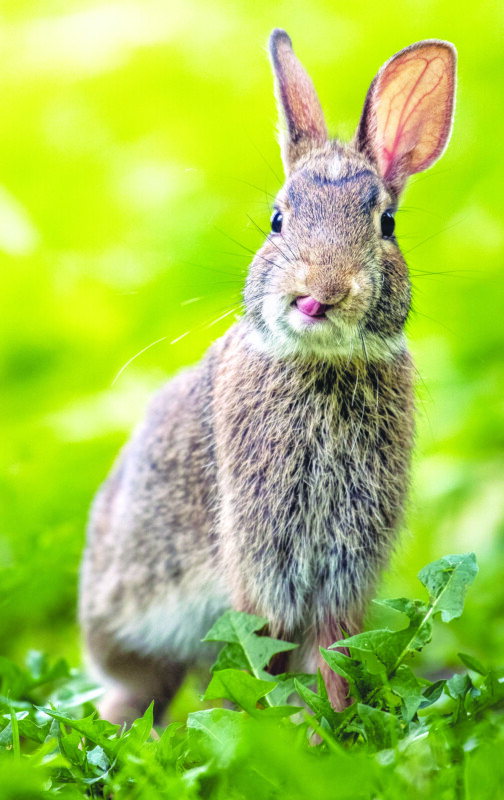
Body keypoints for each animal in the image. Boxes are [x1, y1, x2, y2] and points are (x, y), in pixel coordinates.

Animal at [79, 28, 456, 720]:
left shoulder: (343, 568)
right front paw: (272, 728)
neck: (322, 365)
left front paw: (332, 727)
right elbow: (266, 654)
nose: (319, 295)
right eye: (278, 219)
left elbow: (333, 653)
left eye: (386, 225)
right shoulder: (264, 560)